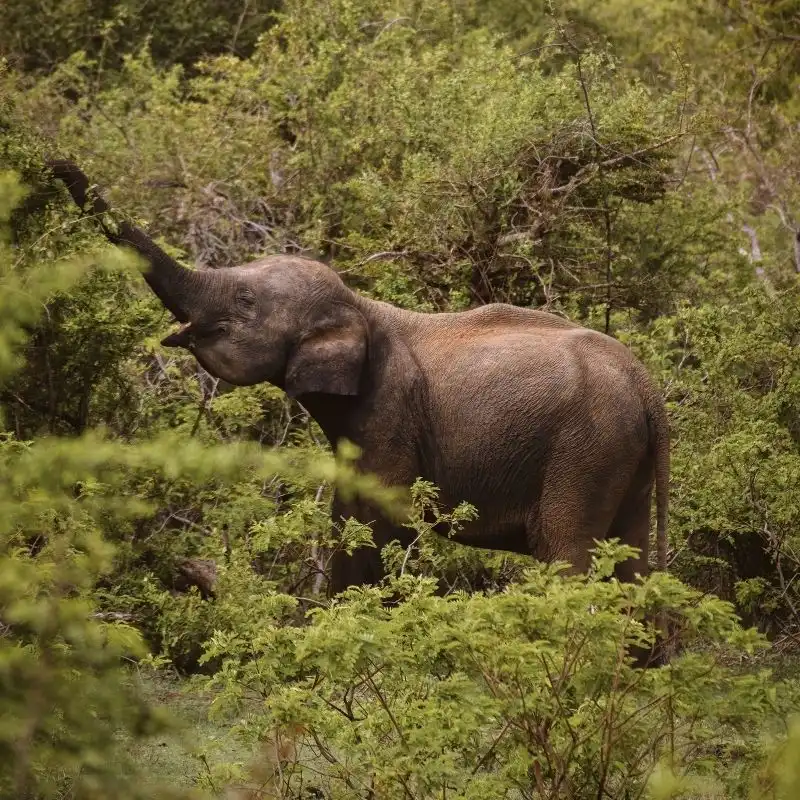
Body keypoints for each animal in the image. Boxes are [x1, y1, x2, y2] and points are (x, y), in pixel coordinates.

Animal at [47, 159, 669, 597]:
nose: (52, 162)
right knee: (631, 560)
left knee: (568, 551)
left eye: (245, 301)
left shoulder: (389, 411)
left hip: (584, 450)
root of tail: (647, 387)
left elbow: (375, 517)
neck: (361, 305)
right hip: (621, 454)